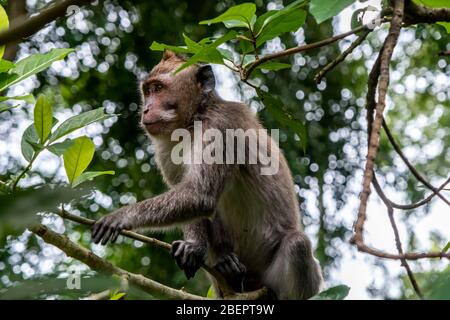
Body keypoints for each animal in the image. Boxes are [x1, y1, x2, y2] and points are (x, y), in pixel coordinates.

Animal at [92, 50, 324, 300]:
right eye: (148, 91)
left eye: (158, 88)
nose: (145, 109)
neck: (195, 120)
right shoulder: (164, 149)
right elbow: (192, 200)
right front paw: (194, 246)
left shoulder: (222, 126)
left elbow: (200, 195)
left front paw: (120, 216)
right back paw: (227, 265)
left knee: (297, 245)